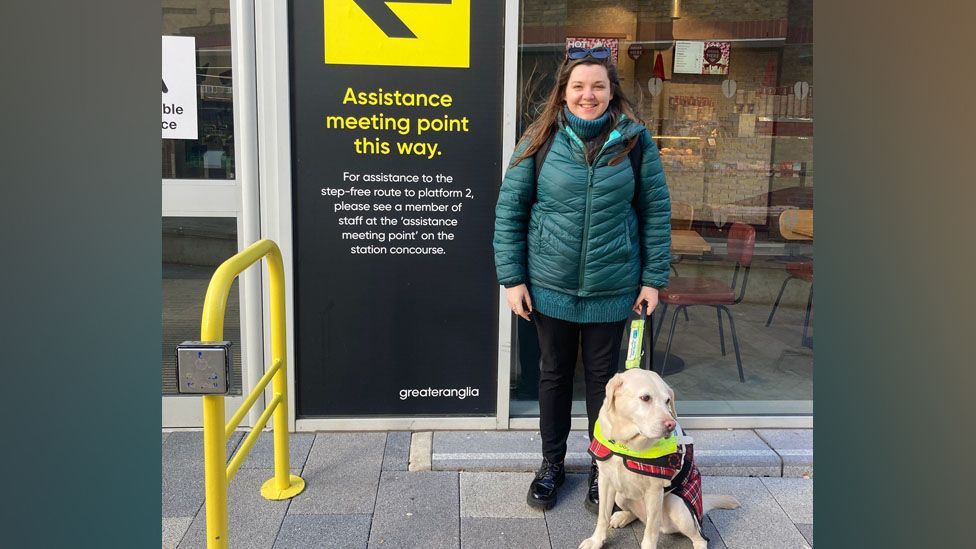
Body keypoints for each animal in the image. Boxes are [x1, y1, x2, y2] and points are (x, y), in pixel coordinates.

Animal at [576, 368, 736, 548]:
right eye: (646, 398)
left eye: (667, 401)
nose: (671, 425)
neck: (627, 445)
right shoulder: (606, 481)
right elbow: (602, 516)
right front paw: (596, 541)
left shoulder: (654, 491)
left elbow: (651, 532)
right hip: (621, 495)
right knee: (637, 516)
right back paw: (622, 517)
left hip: (677, 505)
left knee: (698, 537)